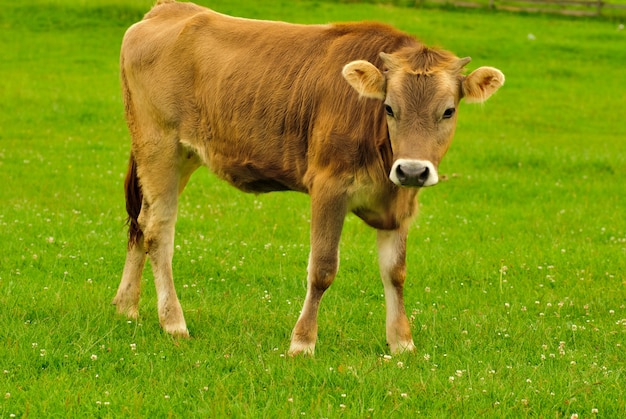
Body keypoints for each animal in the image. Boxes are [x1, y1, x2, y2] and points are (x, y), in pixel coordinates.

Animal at [112, 0, 502, 356]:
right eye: (390, 108)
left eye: (448, 111)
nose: (412, 169)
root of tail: (168, 9)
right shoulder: (329, 185)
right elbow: (323, 268)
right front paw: (302, 342)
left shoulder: (401, 202)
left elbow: (396, 271)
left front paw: (401, 341)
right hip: (159, 145)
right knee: (159, 229)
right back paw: (173, 322)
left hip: (183, 156)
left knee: (142, 220)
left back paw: (127, 306)